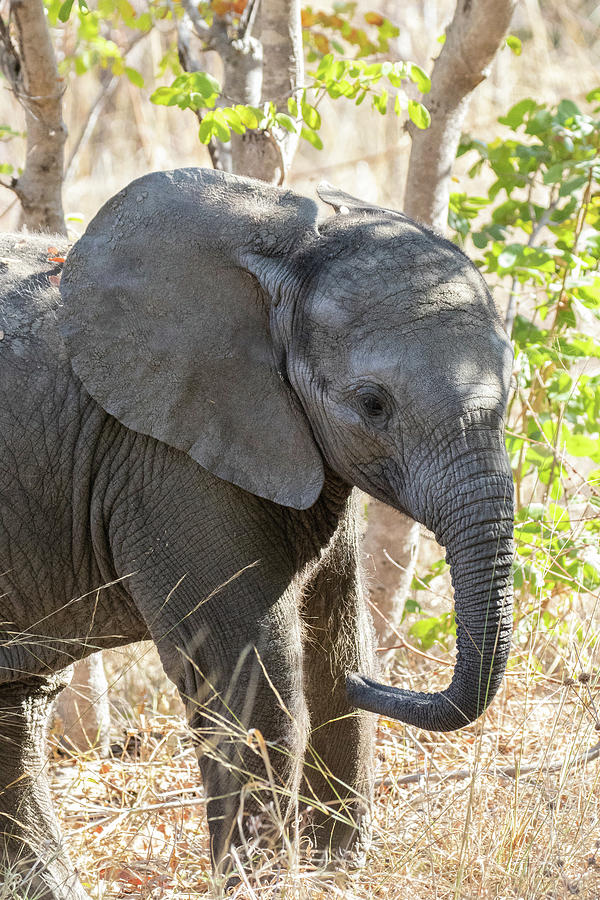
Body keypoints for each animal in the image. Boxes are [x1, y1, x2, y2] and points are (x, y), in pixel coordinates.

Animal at [0, 167, 516, 892]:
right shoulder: (165, 464)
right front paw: (267, 889)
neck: (285, 248)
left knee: (15, 709)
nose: (388, 685)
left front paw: (335, 877)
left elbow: (335, 644)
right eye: (372, 405)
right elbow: (256, 694)